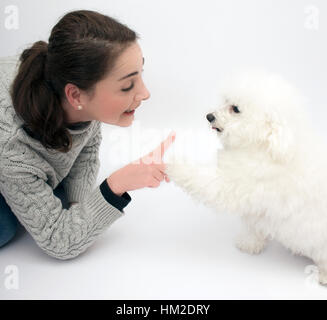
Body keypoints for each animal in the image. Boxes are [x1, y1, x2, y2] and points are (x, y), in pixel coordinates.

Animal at [168, 70, 327, 284]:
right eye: (226, 100)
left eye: (235, 109)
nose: (209, 116)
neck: (268, 146)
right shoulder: (256, 206)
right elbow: (254, 228)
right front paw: (249, 244)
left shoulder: (228, 185)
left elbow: (199, 178)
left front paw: (170, 163)